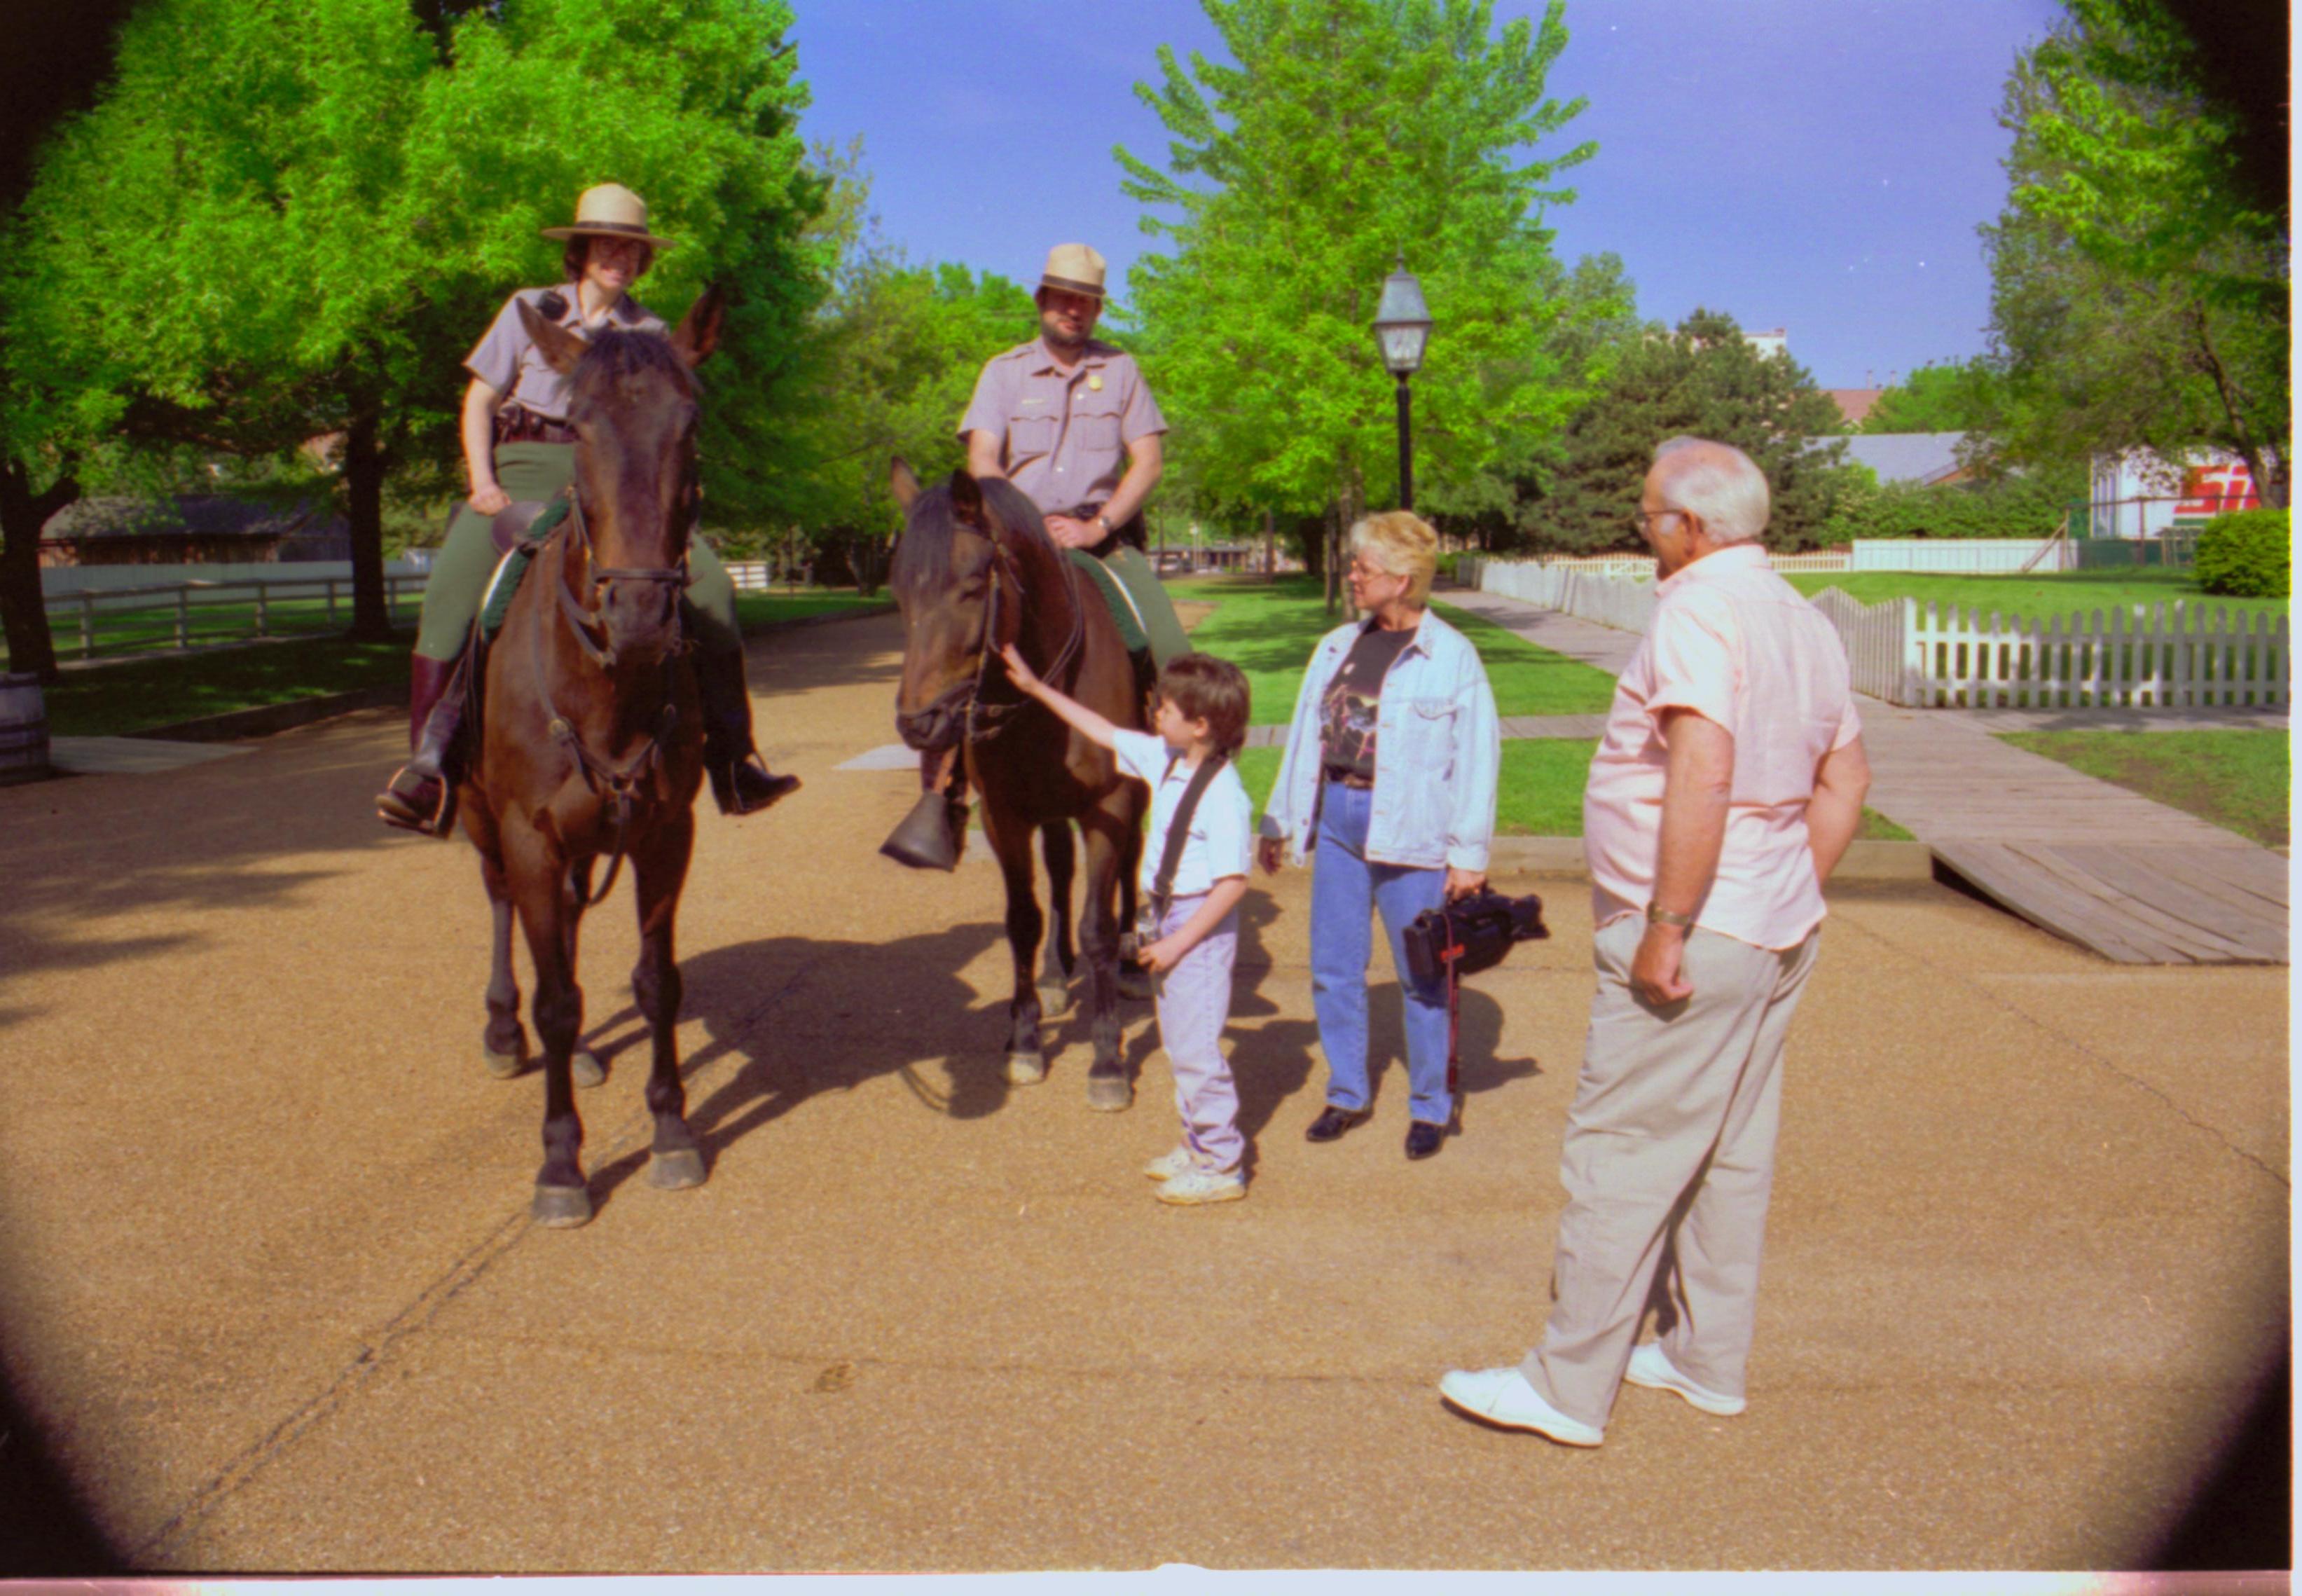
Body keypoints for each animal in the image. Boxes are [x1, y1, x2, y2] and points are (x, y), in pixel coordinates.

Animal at [460, 289, 727, 1234]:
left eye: (690, 423)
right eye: (576, 427)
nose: (641, 617)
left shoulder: (664, 833)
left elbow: (657, 983)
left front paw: (673, 1131)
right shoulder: (529, 835)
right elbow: (556, 999)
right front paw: (561, 1164)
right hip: (483, 824)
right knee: (506, 911)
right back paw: (505, 1034)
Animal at [883, 462, 1146, 1110]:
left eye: (972, 587)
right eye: (899, 592)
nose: (918, 723)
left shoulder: (1110, 806)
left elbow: (1099, 926)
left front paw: (1107, 1057)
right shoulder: (1005, 816)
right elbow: (1023, 920)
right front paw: (1025, 1037)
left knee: (1130, 866)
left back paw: (1131, 966)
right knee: (1059, 871)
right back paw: (1054, 973)